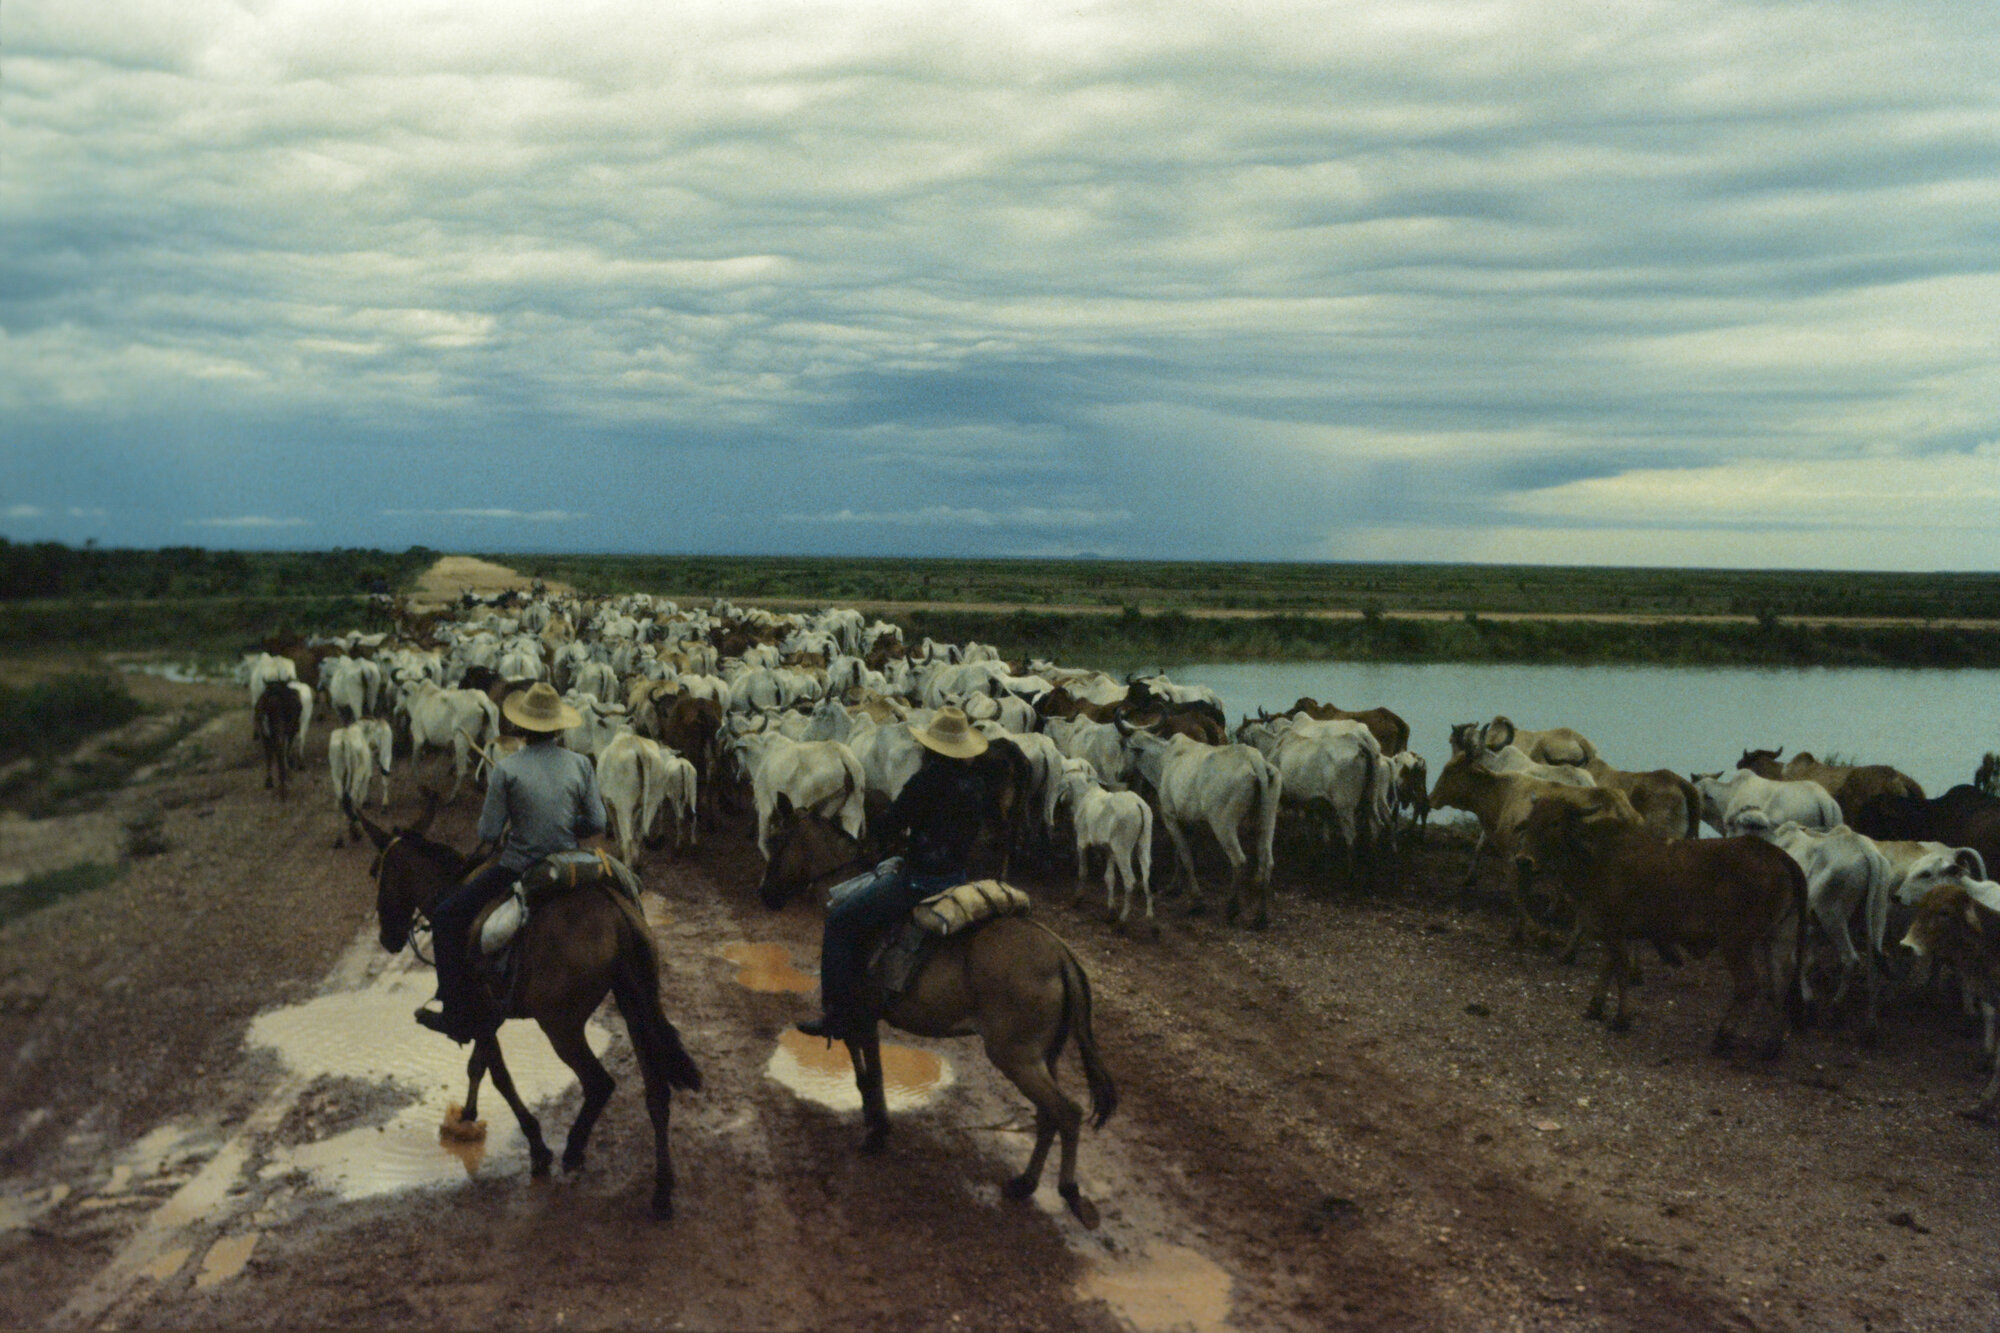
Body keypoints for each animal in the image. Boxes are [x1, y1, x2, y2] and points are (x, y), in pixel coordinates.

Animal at [1517, 796, 1809, 1057]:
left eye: (1555, 822)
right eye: (1530, 820)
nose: (1524, 860)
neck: (1596, 855)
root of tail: (1777, 855)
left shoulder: (1615, 930)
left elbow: (1620, 973)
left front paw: (1621, 1018)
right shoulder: (1614, 931)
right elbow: (1607, 968)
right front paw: (1595, 1007)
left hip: (1736, 941)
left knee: (1748, 986)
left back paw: (1723, 1037)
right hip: (1778, 939)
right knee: (1780, 985)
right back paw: (1771, 1046)